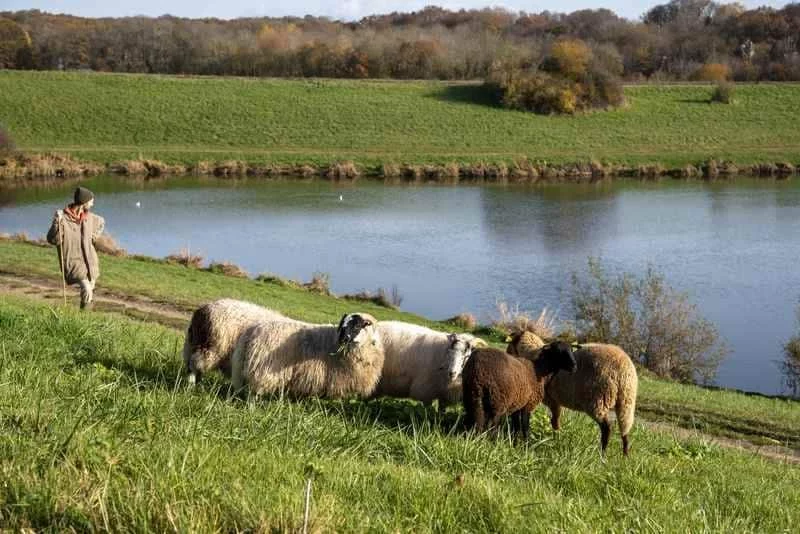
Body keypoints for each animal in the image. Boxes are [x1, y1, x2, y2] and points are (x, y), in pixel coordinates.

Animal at [230, 313, 384, 399]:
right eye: (342, 326)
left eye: (357, 326)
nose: (343, 339)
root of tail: (252, 330)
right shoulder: (335, 379)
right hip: (264, 370)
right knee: (254, 392)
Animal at [508, 331, 638, 456]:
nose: (507, 353)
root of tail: (624, 371)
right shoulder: (555, 400)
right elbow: (555, 420)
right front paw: (556, 438)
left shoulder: (551, 400)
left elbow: (553, 420)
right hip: (626, 402)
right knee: (625, 428)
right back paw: (625, 456)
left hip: (598, 401)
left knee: (607, 428)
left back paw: (602, 454)